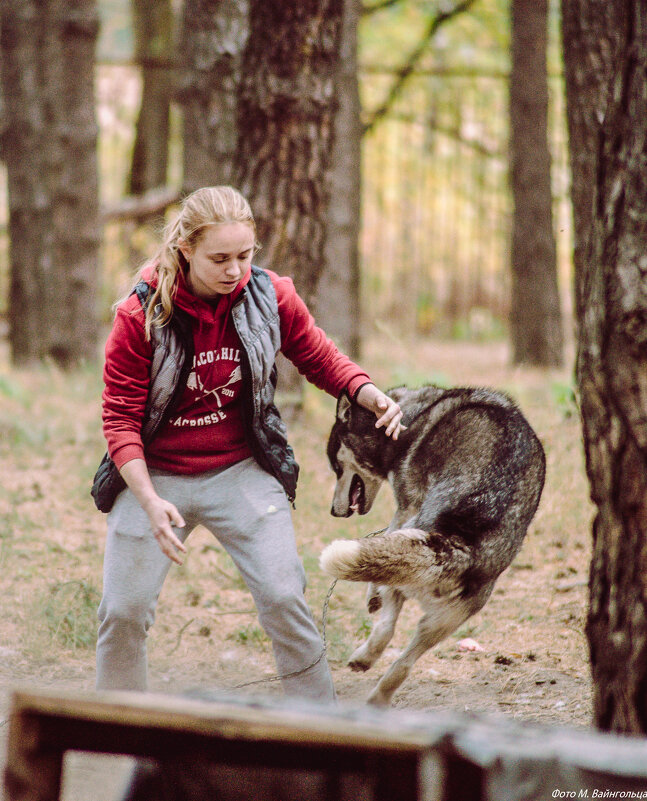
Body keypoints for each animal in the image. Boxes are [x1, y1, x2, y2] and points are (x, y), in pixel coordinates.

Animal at [318, 384, 548, 704]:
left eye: (336, 467)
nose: (332, 511)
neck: (409, 419)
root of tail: (459, 543)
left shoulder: (406, 507)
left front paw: (371, 595)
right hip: (444, 620)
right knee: (401, 664)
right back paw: (373, 686)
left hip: (414, 553)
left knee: (387, 623)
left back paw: (366, 649)